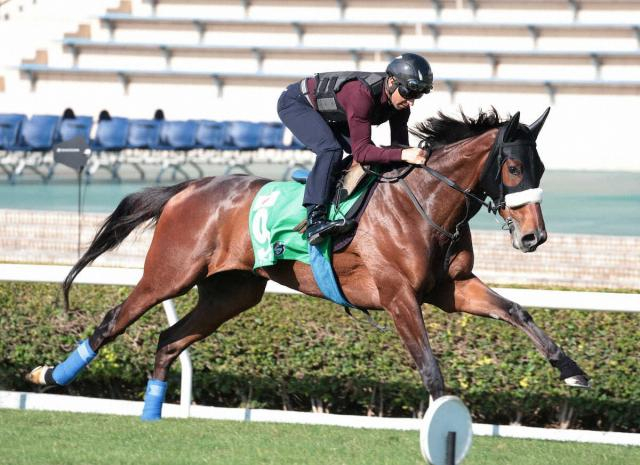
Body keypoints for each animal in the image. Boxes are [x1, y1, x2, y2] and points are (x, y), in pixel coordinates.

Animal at [28, 107, 592, 418]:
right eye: (513, 167)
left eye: (541, 167)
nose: (534, 236)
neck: (425, 203)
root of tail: (191, 186)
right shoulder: (398, 296)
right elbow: (429, 366)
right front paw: (445, 419)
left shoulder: (449, 289)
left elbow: (517, 311)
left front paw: (571, 370)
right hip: (169, 274)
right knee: (112, 321)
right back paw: (51, 376)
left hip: (232, 292)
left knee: (169, 339)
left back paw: (152, 412)